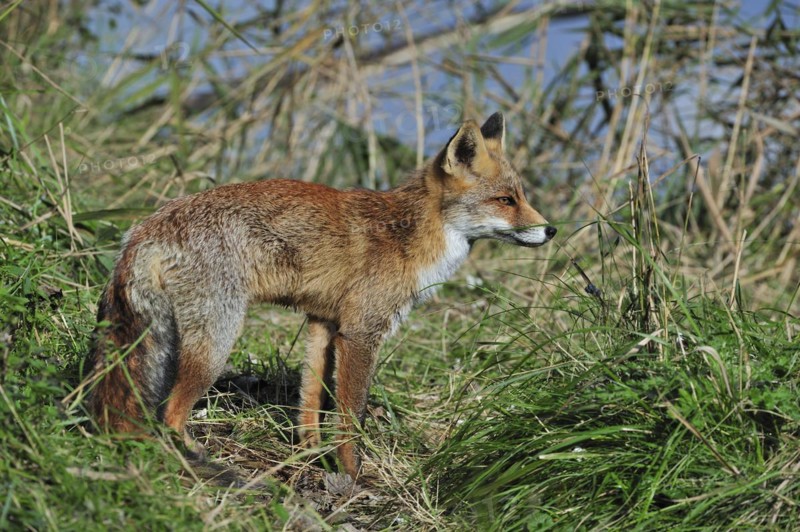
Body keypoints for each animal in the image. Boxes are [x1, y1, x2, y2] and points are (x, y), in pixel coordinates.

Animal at [86, 112, 556, 480]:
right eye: (505, 200)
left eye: (522, 196)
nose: (551, 229)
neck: (409, 237)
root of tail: (146, 228)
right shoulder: (362, 333)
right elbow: (351, 417)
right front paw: (352, 475)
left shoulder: (323, 324)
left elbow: (311, 399)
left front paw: (309, 455)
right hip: (216, 342)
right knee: (170, 412)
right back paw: (193, 459)